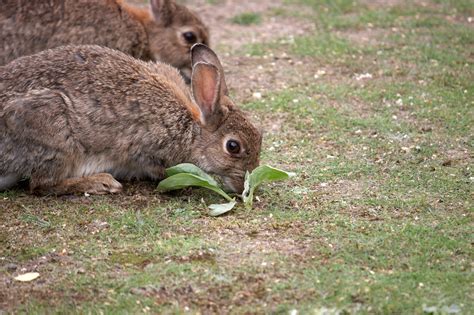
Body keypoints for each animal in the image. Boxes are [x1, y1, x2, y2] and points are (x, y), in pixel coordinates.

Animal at [0, 42, 262, 195]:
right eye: (233, 146)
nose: (244, 186)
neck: (190, 127)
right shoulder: (146, 148)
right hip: (53, 133)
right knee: (41, 184)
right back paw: (102, 182)